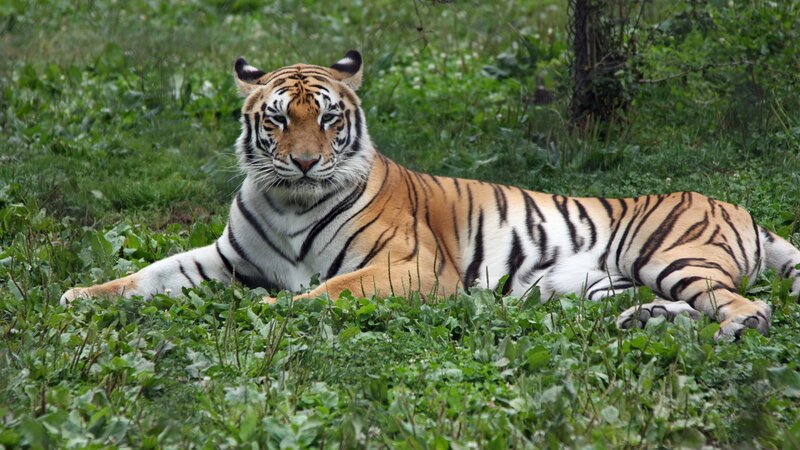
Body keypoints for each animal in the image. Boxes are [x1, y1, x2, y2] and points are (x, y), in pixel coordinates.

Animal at [61, 50, 800, 339]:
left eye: (327, 118)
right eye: (276, 119)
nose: (304, 163)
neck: (288, 202)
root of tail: (739, 207)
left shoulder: (413, 266)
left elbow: (330, 290)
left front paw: (277, 310)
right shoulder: (223, 258)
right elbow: (151, 273)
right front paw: (78, 295)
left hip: (670, 254)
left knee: (748, 304)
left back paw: (735, 328)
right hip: (612, 283)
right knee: (686, 307)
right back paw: (643, 321)